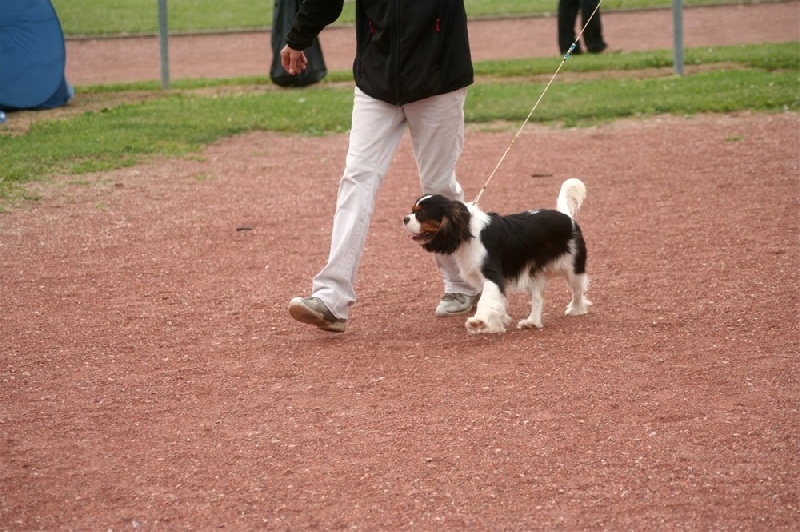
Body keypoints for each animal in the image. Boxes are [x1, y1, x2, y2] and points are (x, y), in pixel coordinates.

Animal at [404, 181, 592, 334]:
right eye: (412, 211)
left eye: (421, 215)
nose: (405, 218)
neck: (466, 230)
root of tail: (566, 217)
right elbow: (496, 301)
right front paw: (493, 327)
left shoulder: (492, 275)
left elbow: (486, 299)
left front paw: (478, 321)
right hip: (534, 275)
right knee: (538, 298)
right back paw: (532, 322)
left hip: (573, 268)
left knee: (577, 290)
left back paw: (576, 310)